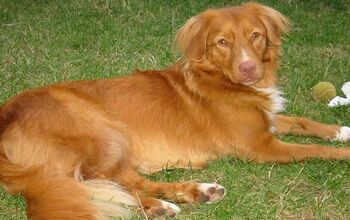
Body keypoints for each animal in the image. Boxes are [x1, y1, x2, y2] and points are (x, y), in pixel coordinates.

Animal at [0, 2, 350, 220]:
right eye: (222, 42)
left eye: (256, 35)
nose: (249, 69)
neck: (220, 79)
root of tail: (6, 117)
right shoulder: (261, 146)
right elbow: (313, 150)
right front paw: (344, 152)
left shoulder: (268, 121)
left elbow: (303, 122)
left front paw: (341, 130)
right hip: (104, 132)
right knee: (102, 182)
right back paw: (159, 205)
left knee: (126, 181)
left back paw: (194, 193)